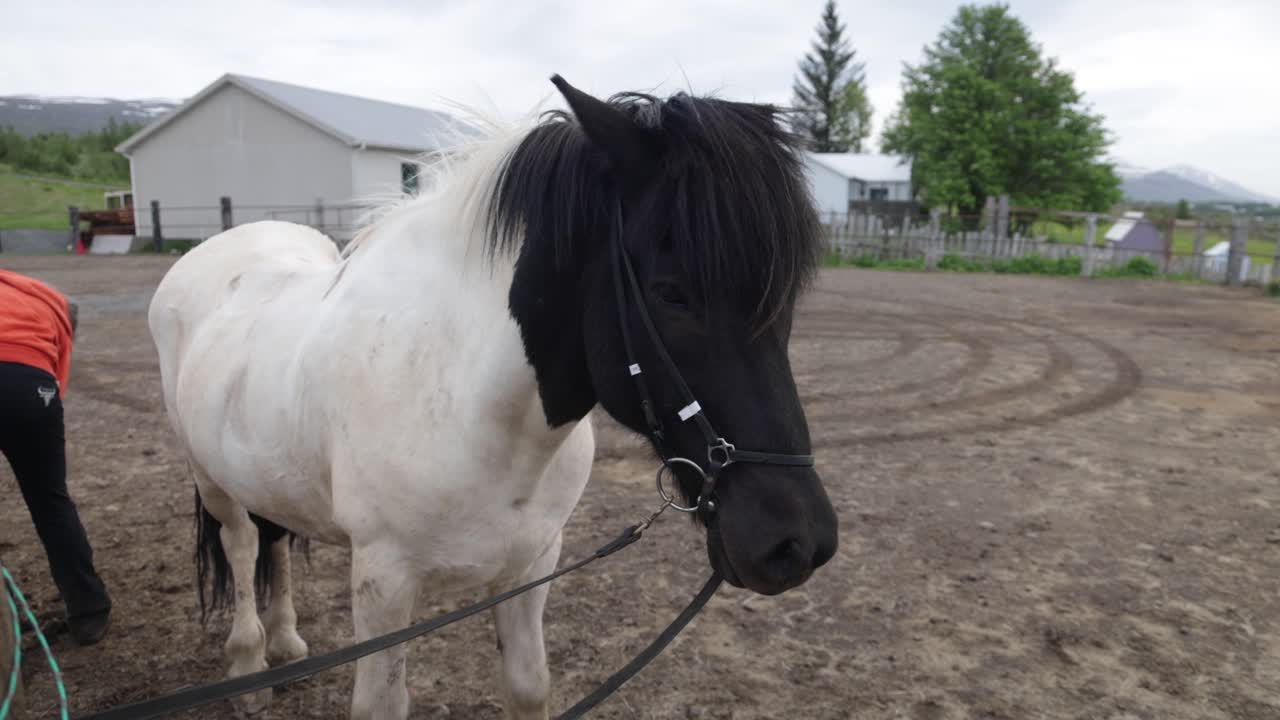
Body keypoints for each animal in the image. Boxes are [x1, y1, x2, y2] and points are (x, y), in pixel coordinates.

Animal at [147, 74, 838, 720]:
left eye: (786, 299)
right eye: (672, 293)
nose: (797, 542)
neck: (462, 400)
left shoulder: (532, 564)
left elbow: (529, 686)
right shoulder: (383, 581)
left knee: (275, 538)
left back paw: (287, 644)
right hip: (210, 476)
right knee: (242, 545)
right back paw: (248, 666)